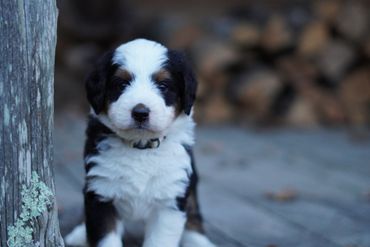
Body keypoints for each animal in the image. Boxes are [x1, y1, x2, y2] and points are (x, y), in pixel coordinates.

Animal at [66, 39, 217, 247]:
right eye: (121, 84)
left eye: (163, 85)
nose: (140, 112)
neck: (140, 147)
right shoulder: (101, 192)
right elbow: (104, 236)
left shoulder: (170, 197)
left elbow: (161, 239)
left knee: (194, 213)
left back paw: (199, 241)